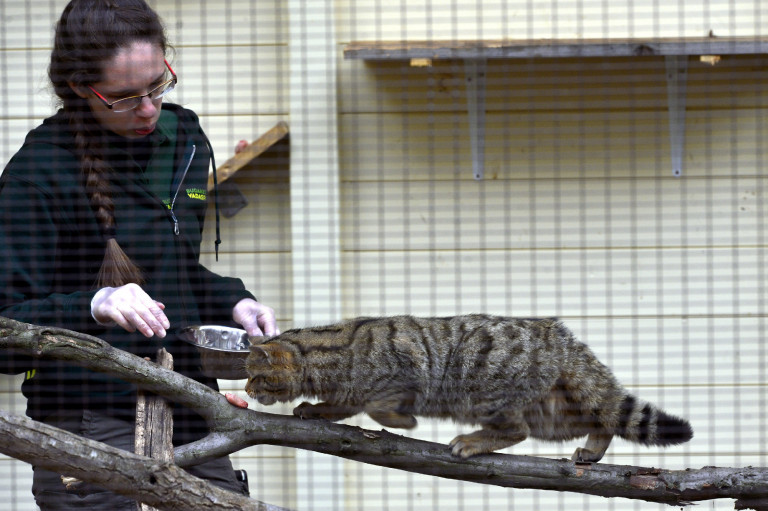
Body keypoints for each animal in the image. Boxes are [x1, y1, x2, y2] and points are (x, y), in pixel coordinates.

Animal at [243, 314, 692, 462]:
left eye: (254, 375)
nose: (246, 389)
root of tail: (558, 335)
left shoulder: (401, 376)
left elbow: (378, 408)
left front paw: (404, 422)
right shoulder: (349, 394)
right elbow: (339, 406)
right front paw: (312, 408)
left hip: (489, 396)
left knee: (515, 431)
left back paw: (473, 441)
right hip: (552, 414)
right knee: (600, 418)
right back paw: (593, 449)